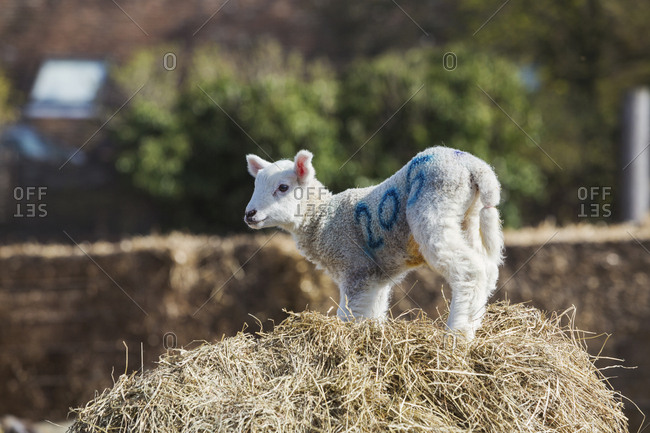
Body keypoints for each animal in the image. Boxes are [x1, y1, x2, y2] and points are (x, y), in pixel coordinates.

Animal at [244, 146, 504, 339]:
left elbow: (350, 313)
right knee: (487, 270)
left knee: (469, 271)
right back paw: (473, 324)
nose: (249, 214)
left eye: (283, 187)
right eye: (255, 186)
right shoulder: (375, 278)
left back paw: (456, 334)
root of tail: (475, 167)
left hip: (434, 203)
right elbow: (373, 311)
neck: (323, 217)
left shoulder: (356, 269)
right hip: (467, 218)